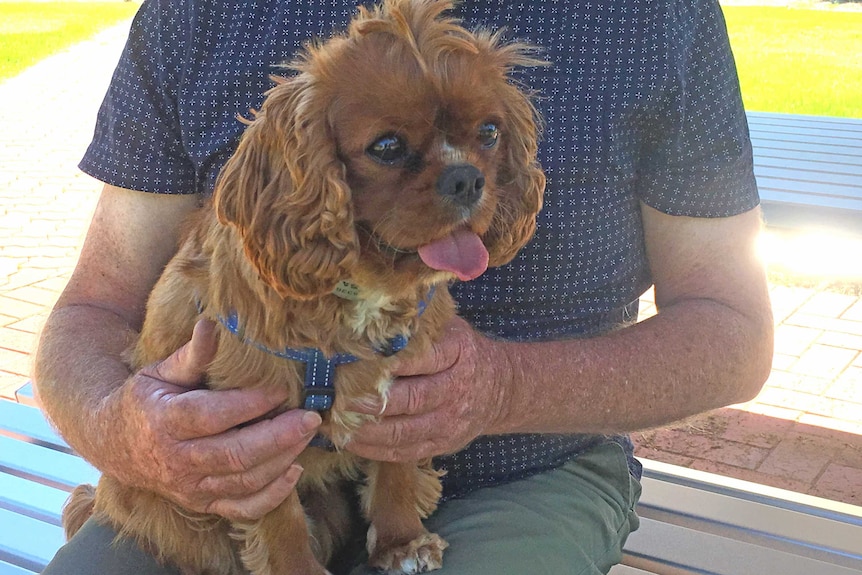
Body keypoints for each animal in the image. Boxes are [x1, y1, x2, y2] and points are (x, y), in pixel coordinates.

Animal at [62, 2, 548, 572]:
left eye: (490, 133)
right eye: (387, 147)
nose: (467, 177)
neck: (359, 294)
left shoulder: (410, 396)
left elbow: (397, 470)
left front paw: (401, 542)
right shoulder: (251, 439)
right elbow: (280, 524)